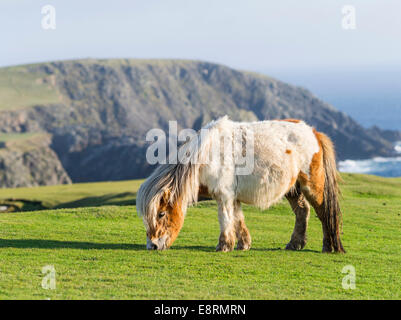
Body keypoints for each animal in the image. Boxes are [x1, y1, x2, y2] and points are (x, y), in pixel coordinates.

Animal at [137, 116, 344, 254]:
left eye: (161, 213)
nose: (152, 245)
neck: (207, 154)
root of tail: (314, 132)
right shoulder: (232, 197)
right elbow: (238, 219)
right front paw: (243, 244)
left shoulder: (224, 195)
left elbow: (225, 218)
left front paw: (223, 246)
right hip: (293, 188)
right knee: (302, 211)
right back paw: (295, 244)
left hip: (312, 186)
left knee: (323, 212)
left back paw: (328, 246)